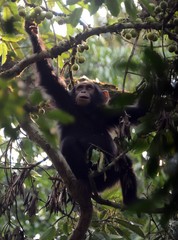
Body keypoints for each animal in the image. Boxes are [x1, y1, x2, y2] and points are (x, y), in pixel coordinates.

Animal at [25, 21, 147, 204]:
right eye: (80, 87)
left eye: (89, 88)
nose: (83, 91)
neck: (86, 113)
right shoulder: (65, 102)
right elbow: (48, 75)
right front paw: (33, 33)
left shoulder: (108, 114)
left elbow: (138, 113)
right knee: (69, 143)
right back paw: (84, 180)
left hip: (108, 177)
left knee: (125, 162)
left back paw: (131, 203)